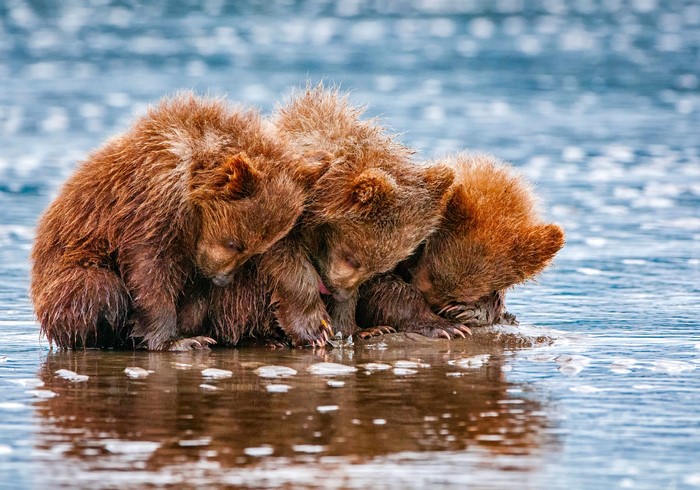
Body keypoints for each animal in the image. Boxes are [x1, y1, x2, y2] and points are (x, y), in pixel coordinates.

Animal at [31, 93, 325, 351]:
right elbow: (149, 269)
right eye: (234, 244)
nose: (222, 280)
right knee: (98, 288)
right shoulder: (151, 203)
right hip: (64, 277)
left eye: (253, 251)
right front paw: (177, 341)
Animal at [207, 85, 455, 348]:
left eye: (374, 268)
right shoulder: (275, 221)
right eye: (351, 258)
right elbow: (287, 267)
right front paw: (315, 328)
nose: (338, 292)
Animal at [356, 152, 565, 338]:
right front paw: (444, 326)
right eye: (430, 275)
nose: (435, 307)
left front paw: (469, 311)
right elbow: (382, 286)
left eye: (460, 295)